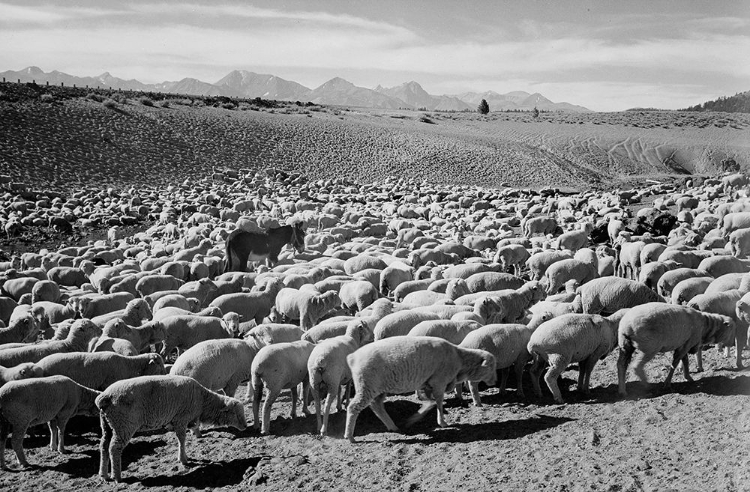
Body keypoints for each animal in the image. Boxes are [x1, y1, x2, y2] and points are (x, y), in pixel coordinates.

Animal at [97, 374, 248, 482]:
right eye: (235, 413)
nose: (245, 426)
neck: (203, 402)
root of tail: (104, 397)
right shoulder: (181, 418)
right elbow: (182, 439)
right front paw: (183, 459)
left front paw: (183, 457)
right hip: (124, 425)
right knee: (114, 448)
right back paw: (117, 477)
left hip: (108, 425)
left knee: (103, 446)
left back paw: (103, 474)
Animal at [344, 336, 496, 444]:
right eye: (491, 367)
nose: (495, 381)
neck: (460, 360)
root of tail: (352, 357)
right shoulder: (439, 381)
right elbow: (439, 402)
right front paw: (442, 422)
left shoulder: (428, 384)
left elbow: (431, 401)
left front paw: (418, 415)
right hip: (367, 386)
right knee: (353, 407)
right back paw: (349, 436)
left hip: (377, 388)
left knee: (377, 406)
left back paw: (392, 426)